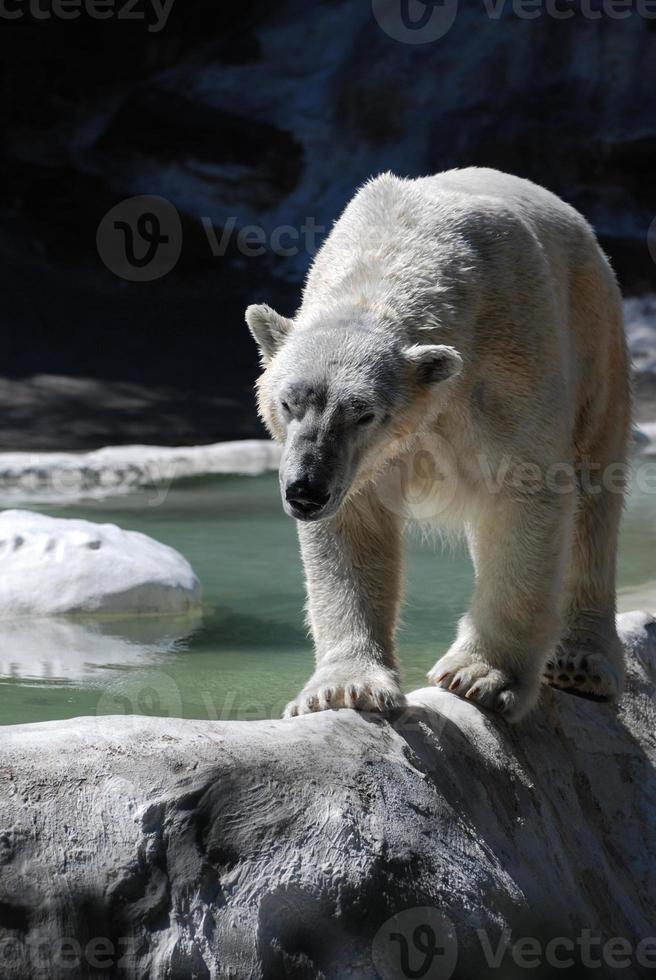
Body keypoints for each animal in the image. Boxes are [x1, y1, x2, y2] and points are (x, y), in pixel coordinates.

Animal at [246, 168, 632, 720]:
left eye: (364, 413)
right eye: (288, 402)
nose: (305, 491)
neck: (401, 245)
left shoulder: (507, 368)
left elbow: (527, 492)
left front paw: (482, 678)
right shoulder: (352, 466)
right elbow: (353, 526)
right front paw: (344, 688)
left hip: (594, 330)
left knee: (596, 492)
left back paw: (582, 663)